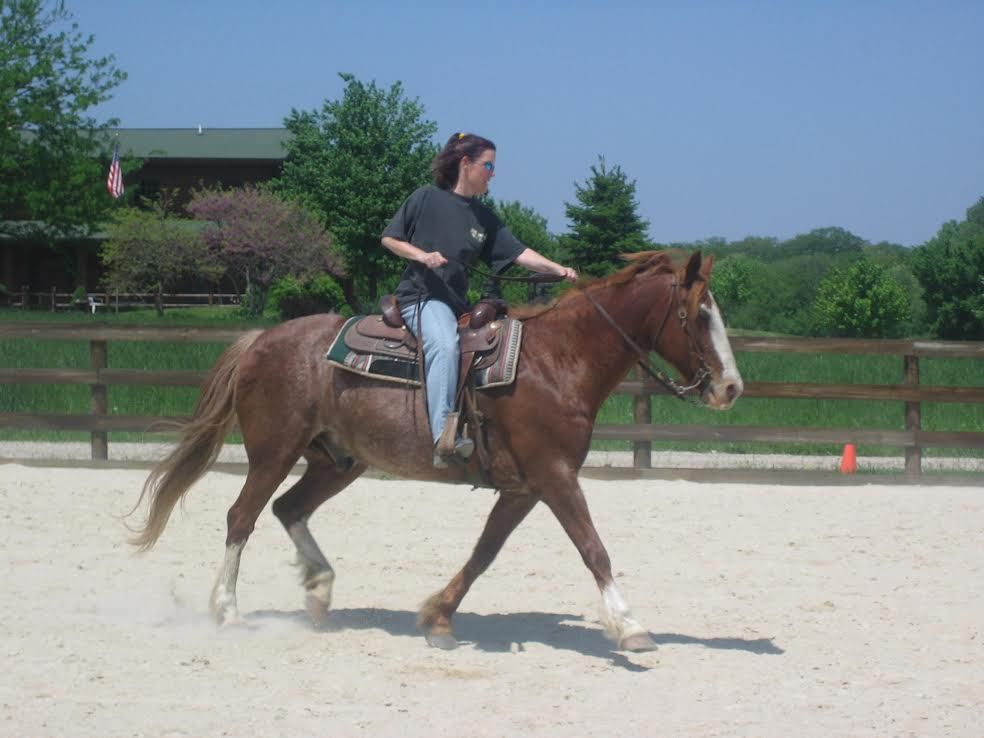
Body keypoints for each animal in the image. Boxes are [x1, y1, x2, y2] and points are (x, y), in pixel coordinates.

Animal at [130, 250, 743, 651]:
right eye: (700, 313)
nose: (732, 387)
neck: (559, 361)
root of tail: (261, 340)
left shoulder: (524, 489)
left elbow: (483, 553)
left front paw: (438, 617)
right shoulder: (555, 476)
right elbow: (594, 549)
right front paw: (629, 625)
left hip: (337, 461)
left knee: (288, 509)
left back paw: (320, 590)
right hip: (274, 452)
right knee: (242, 517)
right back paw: (229, 612)